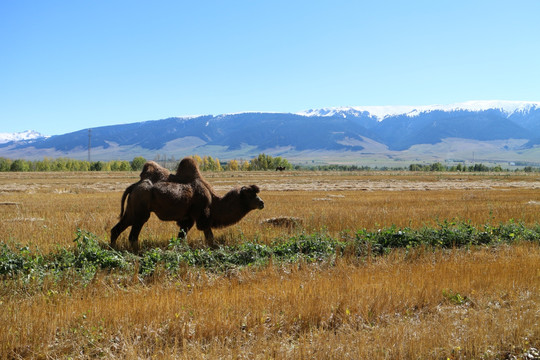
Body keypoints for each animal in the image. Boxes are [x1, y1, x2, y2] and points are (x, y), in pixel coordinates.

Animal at [109, 181, 264, 252]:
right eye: (250, 195)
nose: (262, 203)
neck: (214, 202)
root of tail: (134, 186)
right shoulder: (201, 218)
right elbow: (209, 236)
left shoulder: (187, 220)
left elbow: (181, 237)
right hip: (140, 214)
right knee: (133, 235)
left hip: (131, 212)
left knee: (117, 229)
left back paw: (114, 248)